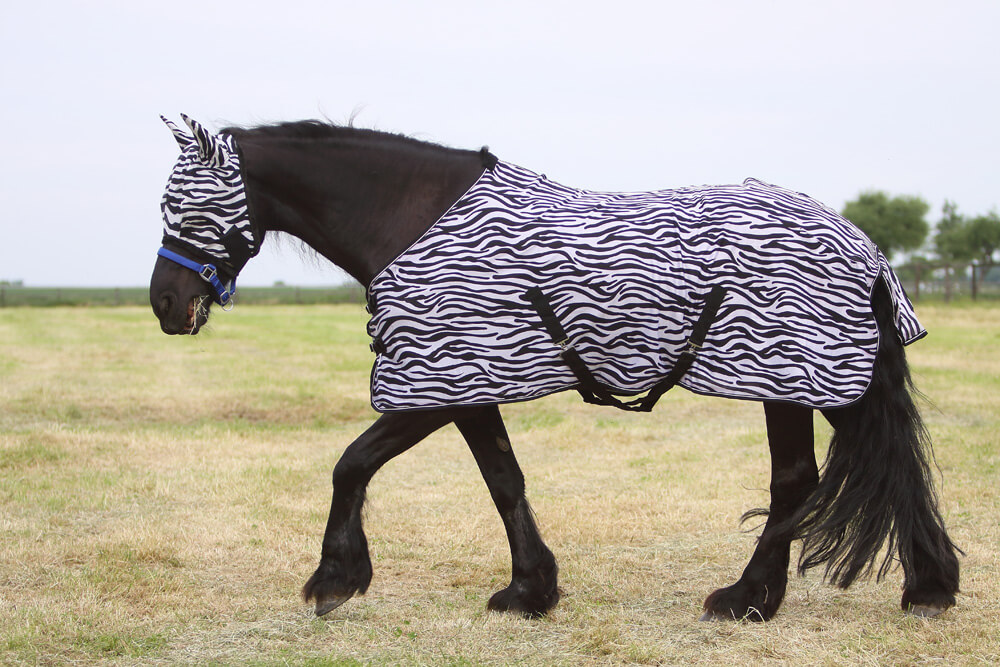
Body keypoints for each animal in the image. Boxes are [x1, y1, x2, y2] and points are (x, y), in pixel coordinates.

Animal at [149, 114, 961, 621]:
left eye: (182, 206)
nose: (165, 302)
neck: (412, 221)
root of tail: (861, 245)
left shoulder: (435, 384)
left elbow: (353, 464)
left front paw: (334, 579)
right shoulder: (467, 383)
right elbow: (503, 478)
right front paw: (531, 588)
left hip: (794, 379)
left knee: (799, 480)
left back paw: (747, 600)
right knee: (888, 469)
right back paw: (927, 587)